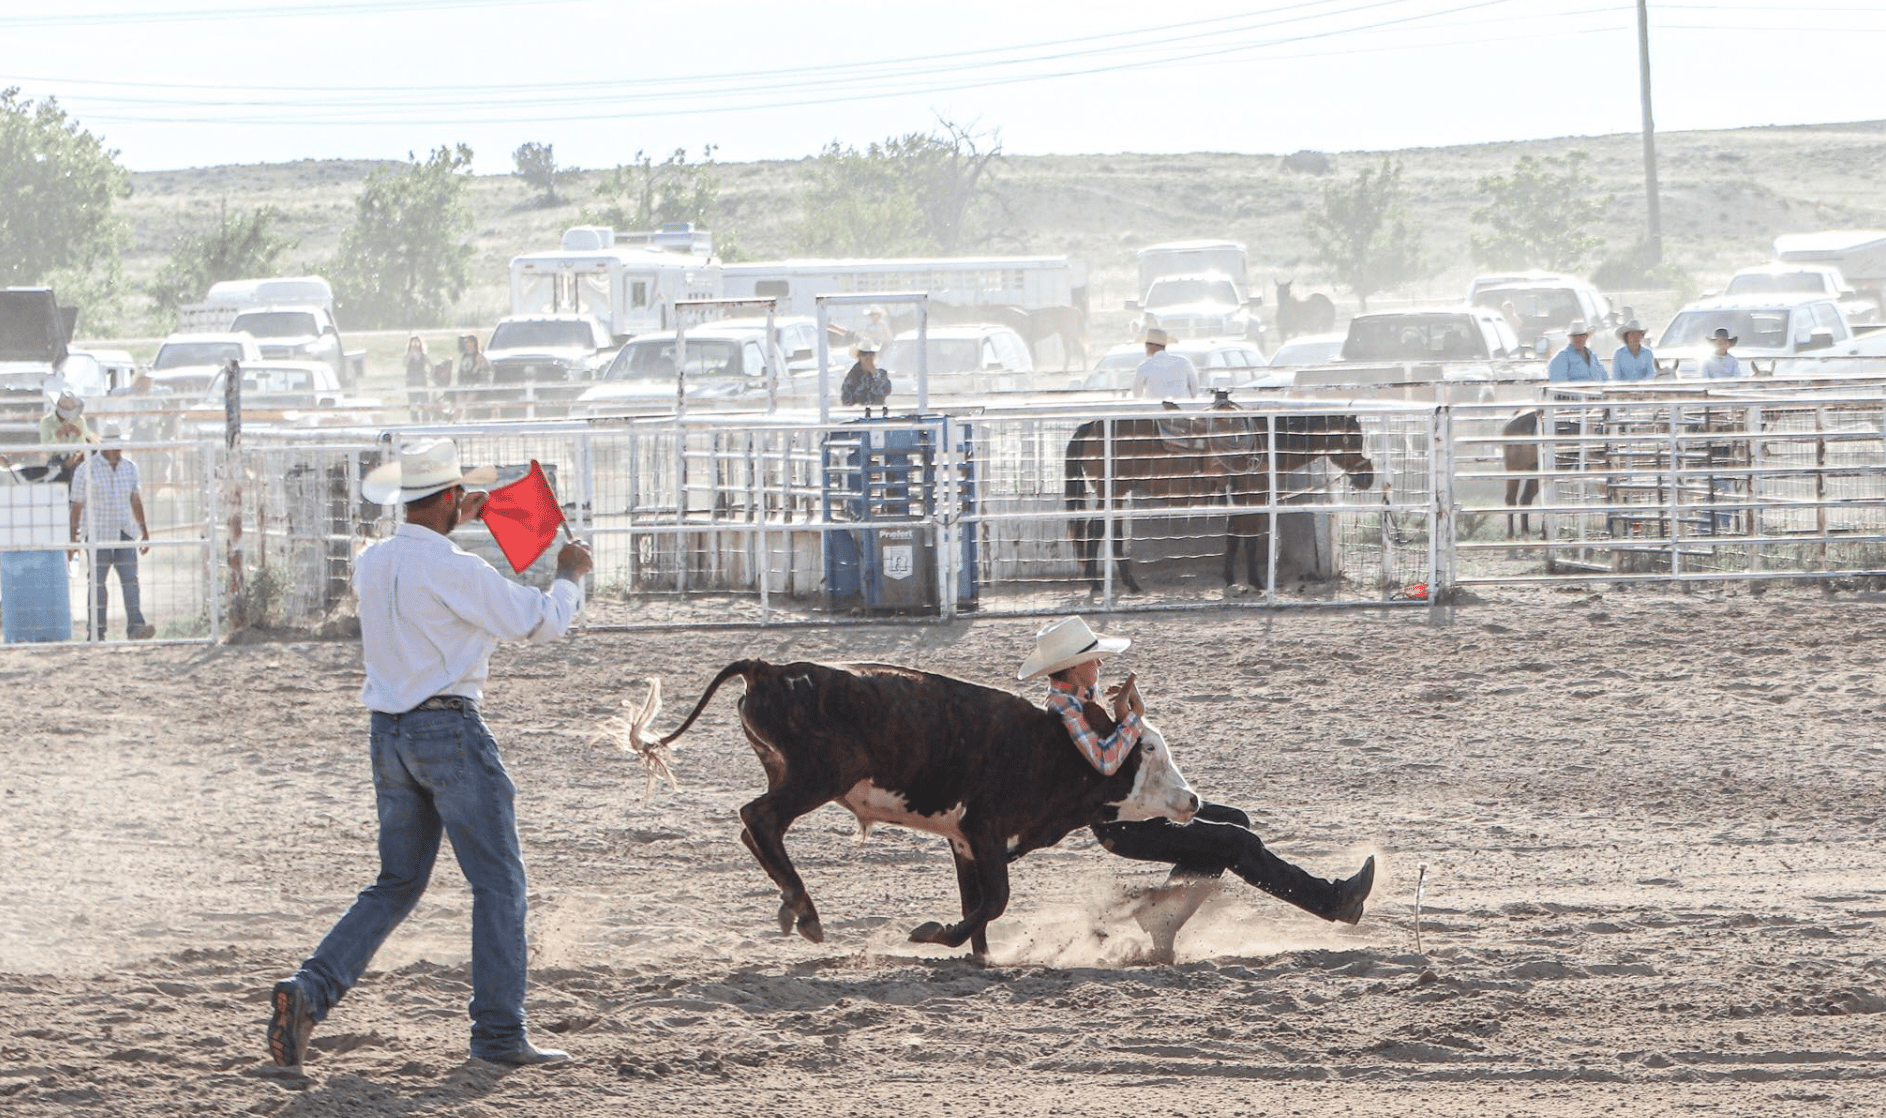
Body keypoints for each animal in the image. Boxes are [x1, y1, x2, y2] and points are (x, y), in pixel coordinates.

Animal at [626, 659, 1199, 953]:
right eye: (1149, 747)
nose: (1192, 798)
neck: (1057, 748)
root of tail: (771, 670)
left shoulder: (965, 841)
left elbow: (977, 904)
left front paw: (980, 957)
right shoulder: (986, 828)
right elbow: (995, 900)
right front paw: (938, 935)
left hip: (785, 771)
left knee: (757, 828)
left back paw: (793, 907)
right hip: (816, 777)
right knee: (759, 818)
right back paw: (806, 912)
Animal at [1063, 394, 1373, 591]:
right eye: (1353, 438)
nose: (1368, 477)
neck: (1266, 440)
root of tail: (1091, 425)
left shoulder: (1237, 492)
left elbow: (1233, 535)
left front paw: (1230, 578)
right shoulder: (1254, 491)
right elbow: (1249, 537)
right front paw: (1256, 581)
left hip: (1116, 492)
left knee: (1107, 533)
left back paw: (1121, 584)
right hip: (1112, 491)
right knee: (1097, 531)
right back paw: (1101, 584)